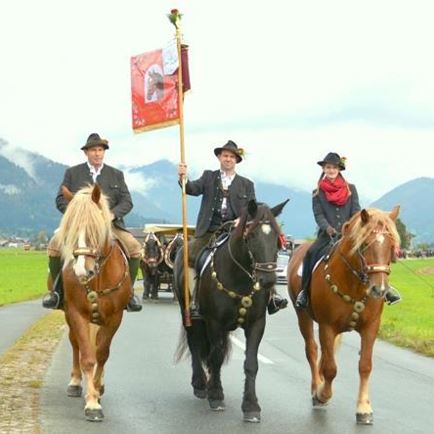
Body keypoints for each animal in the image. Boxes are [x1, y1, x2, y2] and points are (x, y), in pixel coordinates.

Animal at [56, 184, 131, 420]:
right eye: (71, 229)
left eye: (94, 230)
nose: (81, 271)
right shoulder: (76, 314)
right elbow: (87, 356)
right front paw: (92, 403)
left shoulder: (115, 317)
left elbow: (102, 353)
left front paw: (96, 391)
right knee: (76, 345)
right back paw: (75, 382)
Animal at [173, 201, 288, 424]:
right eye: (251, 236)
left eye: (276, 239)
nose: (268, 280)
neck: (239, 278)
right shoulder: (214, 322)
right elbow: (216, 356)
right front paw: (216, 395)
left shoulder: (256, 323)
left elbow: (251, 363)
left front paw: (251, 406)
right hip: (188, 314)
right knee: (195, 344)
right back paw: (201, 384)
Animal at [288, 206, 400, 424]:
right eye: (364, 245)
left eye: (391, 246)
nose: (379, 289)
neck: (354, 283)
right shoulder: (327, 326)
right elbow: (331, 368)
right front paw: (323, 395)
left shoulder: (370, 327)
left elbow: (365, 365)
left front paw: (364, 408)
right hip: (303, 316)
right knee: (313, 350)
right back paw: (316, 387)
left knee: (325, 354)